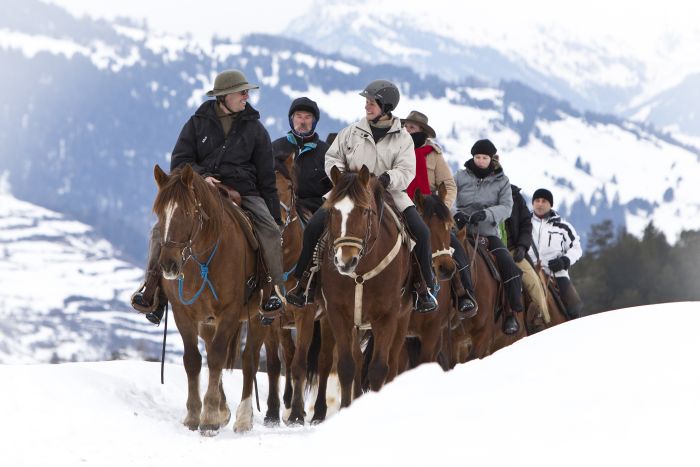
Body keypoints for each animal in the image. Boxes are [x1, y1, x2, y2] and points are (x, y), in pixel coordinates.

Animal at [154, 164, 268, 436]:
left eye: (186, 212)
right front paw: (194, 415)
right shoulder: (183, 313)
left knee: (249, 359)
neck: (202, 260)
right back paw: (224, 410)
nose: (168, 265)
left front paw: (208, 418)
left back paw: (243, 419)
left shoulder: (229, 313)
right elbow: (193, 360)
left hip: (260, 317)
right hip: (207, 321)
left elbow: (216, 356)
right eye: (159, 212)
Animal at [324, 166, 416, 408]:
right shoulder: (338, 314)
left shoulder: (387, 316)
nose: (345, 261)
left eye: (365, 211)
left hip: (403, 318)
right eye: (331, 211)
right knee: (357, 360)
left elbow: (378, 369)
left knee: (392, 364)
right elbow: (347, 366)